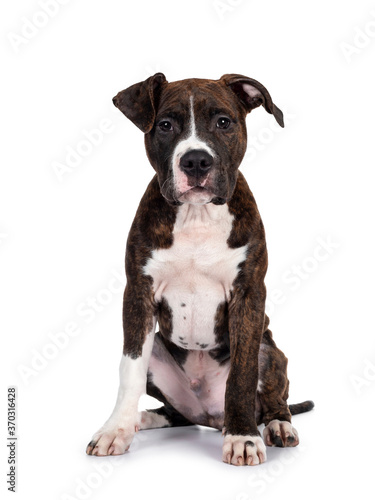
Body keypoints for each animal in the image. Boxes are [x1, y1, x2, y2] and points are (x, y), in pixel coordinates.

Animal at [86, 73, 314, 464]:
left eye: (223, 122)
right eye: (165, 125)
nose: (195, 161)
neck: (197, 215)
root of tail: (209, 415)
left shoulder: (248, 296)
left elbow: (241, 375)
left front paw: (243, 438)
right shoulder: (138, 294)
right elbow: (129, 371)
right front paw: (116, 430)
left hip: (270, 351)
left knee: (275, 401)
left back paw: (275, 427)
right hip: (158, 351)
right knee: (174, 412)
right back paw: (143, 419)